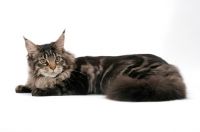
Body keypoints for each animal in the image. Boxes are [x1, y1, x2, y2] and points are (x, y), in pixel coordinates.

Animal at [15, 30, 186, 101]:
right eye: (43, 61)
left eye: (57, 59)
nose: (52, 67)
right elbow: (30, 84)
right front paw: (23, 87)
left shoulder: (78, 83)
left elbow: (57, 87)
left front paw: (38, 91)